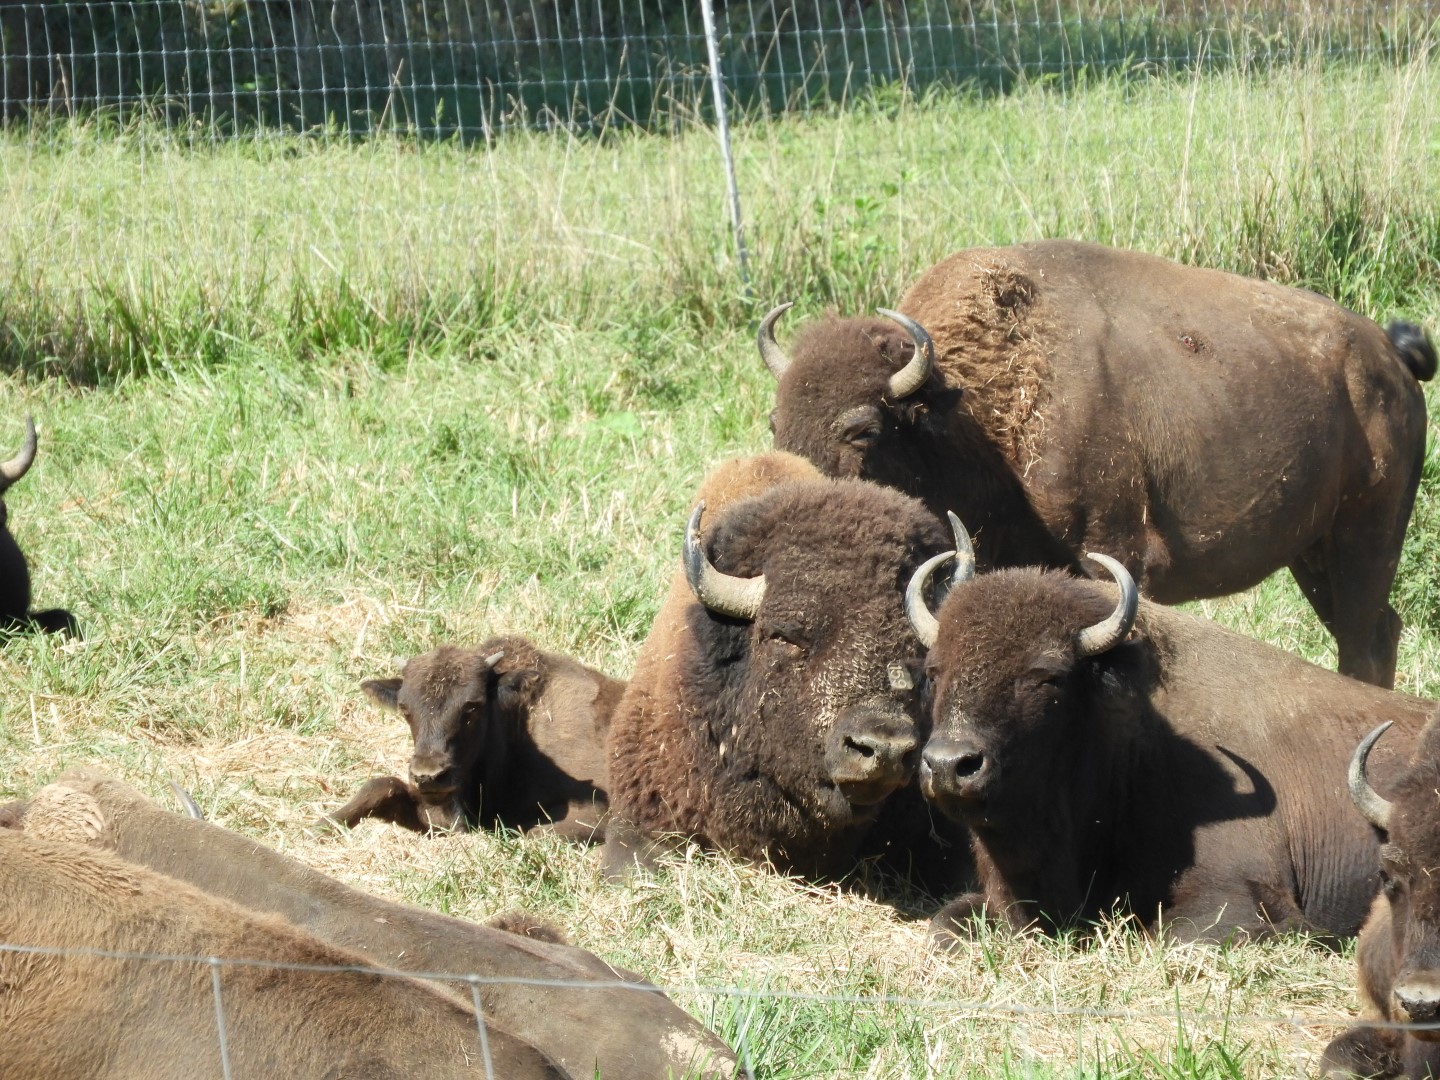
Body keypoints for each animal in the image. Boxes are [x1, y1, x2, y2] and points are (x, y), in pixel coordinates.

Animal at [325, 637, 623, 840]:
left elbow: (534, 833)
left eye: (472, 706)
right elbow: (381, 785)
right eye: (404, 708)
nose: (428, 776)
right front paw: (324, 825)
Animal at [761, 239, 1436, 687]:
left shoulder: (1111, 557)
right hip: (1312, 552)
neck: (968, 411)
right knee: (1373, 630)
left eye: (863, 430)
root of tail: (1388, 356)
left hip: (1365, 538)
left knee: (1364, 638)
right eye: (775, 422)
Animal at [904, 521, 1433, 943]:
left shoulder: (1234, 899)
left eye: (1048, 676)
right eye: (934, 670)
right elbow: (944, 924)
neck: (1129, 737)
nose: (949, 766)